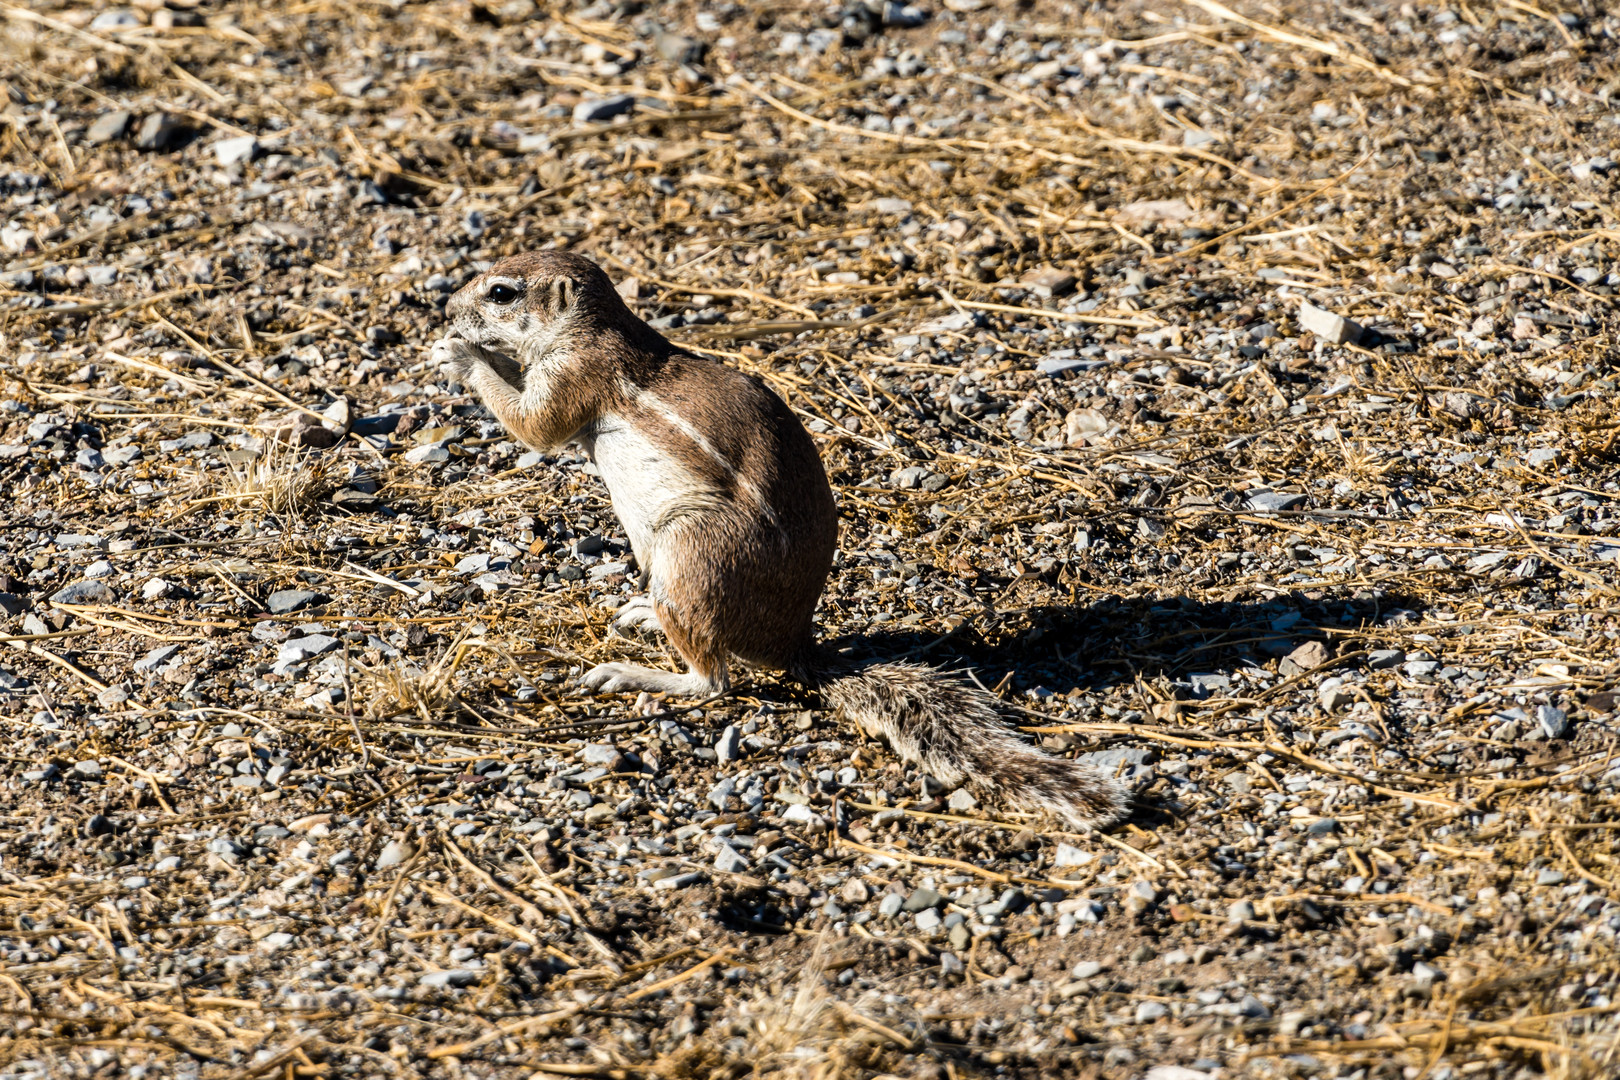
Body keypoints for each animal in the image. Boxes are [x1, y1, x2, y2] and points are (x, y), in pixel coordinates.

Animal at [430, 254, 1127, 829]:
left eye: (500, 292)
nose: (444, 308)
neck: (589, 330)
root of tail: (792, 643)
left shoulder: (573, 376)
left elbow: (533, 426)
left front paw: (458, 353)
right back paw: (640, 614)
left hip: (691, 552)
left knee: (714, 682)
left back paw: (630, 673)